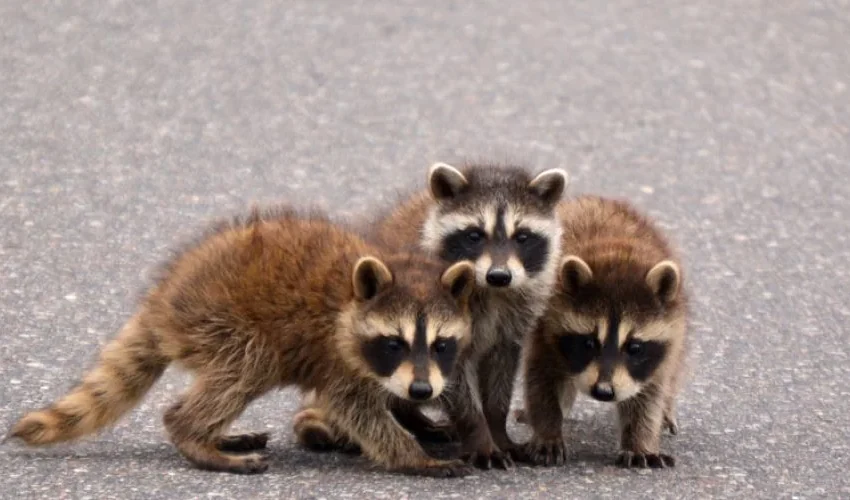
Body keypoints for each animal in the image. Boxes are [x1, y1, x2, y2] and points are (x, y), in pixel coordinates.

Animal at [6, 206, 477, 478]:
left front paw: (416, 417)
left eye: (440, 345)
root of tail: (162, 299)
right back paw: (193, 433)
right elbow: (360, 410)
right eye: (394, 342)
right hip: (220, 321)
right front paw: (411, 454)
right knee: (246, 367)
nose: (423, 390)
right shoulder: (337, 357)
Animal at [292, 163, 568, 469]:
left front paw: (498, 429)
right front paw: (479, 434)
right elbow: (456, 381)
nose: (499, 275)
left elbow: (500, 373)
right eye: (474, 235)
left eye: (522, 237)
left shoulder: (513, 317)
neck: (492, 291)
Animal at [517, 195, 689, 469]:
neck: (618, 256)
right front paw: (547, 431)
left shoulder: (666, 343)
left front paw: (640, 441)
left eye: (634, 347)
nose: (604, 392)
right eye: (588, 343)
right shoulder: (544, 328)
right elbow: (541, 381)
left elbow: (649, 395)